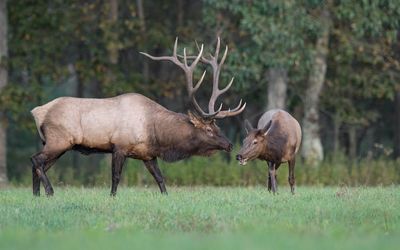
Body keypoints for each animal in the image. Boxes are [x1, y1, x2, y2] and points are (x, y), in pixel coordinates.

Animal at [31, 38, 245, 196]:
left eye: (218, 127)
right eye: (209, 129)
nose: (229, 145)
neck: (157, 134)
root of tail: (38, 112)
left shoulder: (148, 155)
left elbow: (160, 179)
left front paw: (165, 196)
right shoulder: (119, 146)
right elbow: (116, 178)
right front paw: (112, 197)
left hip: (57, 145)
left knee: (39, 164)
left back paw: (36, 195)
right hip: (59, 140)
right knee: (35, 160)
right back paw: (49, 192)